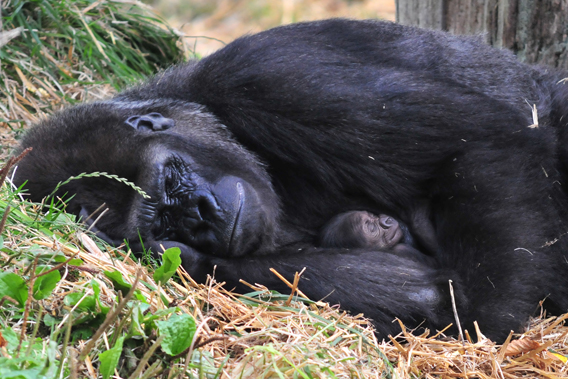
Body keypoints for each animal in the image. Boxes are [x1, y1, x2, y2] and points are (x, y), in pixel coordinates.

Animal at [12, 19, 568, 342]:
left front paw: (483, 309)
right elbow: (427, 295)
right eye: (161, 220)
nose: (202, 215)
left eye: (170, 182)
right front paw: (192, 256)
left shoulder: (262, 78)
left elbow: (484, 144)